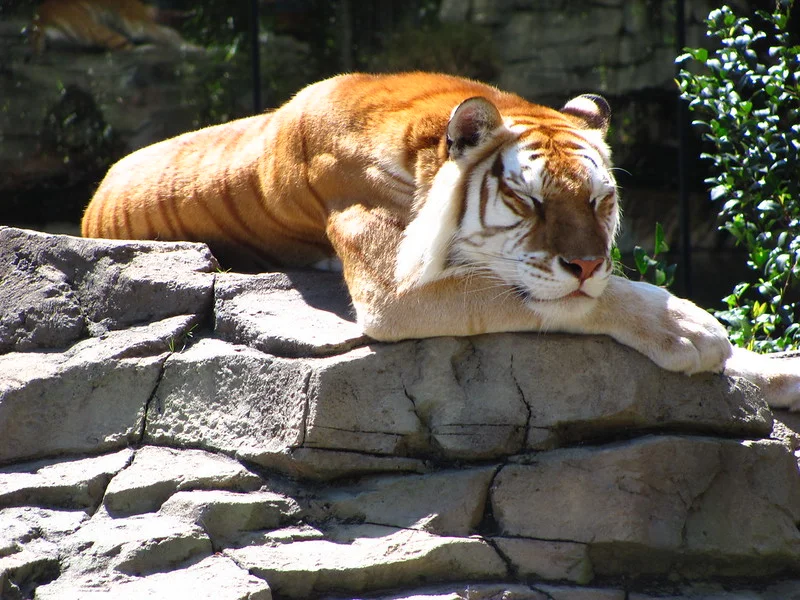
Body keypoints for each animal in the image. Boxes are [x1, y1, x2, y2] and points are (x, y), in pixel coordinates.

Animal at [30, 0, 195, 54]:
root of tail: (40, 19)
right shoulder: (135, 20)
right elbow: (165, 34)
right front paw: (189, 46)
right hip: (94, 29)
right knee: (127, 48)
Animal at [83, 70, 800, 408]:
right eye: (529, 200)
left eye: (601, 200)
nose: (587, 259)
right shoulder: (396, 290)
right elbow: (567, 299)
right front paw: (689, 327)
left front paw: (772, 370)